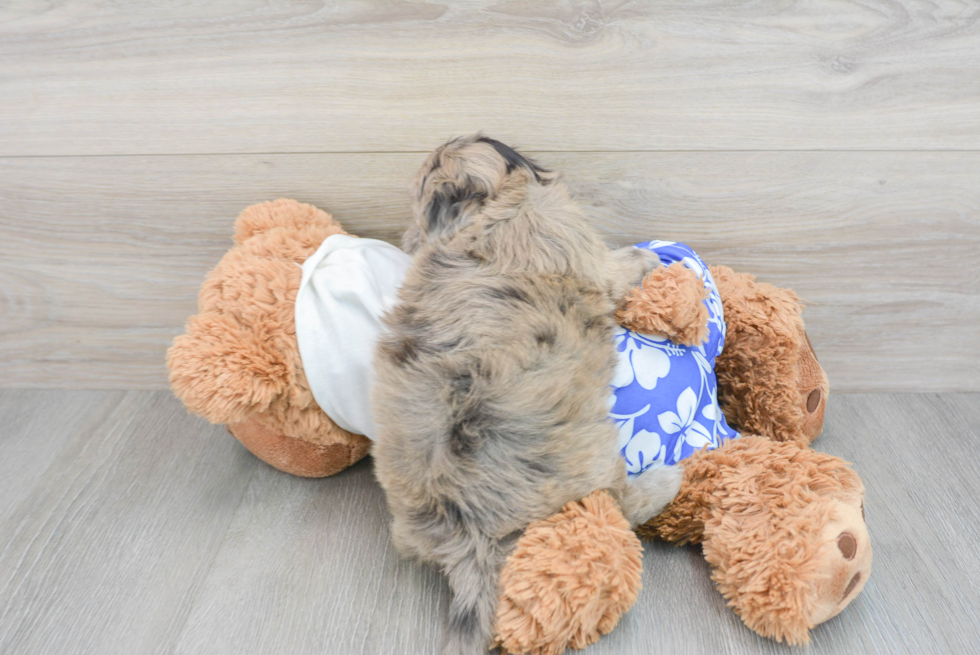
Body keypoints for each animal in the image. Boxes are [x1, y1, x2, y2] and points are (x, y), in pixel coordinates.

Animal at [372, 136, 676, 652]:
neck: (485, 209)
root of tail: (468, 535)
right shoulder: (590, 255)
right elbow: (618, 268)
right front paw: (645, 258)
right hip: (595, 469)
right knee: (624, 503)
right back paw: (669, 479)